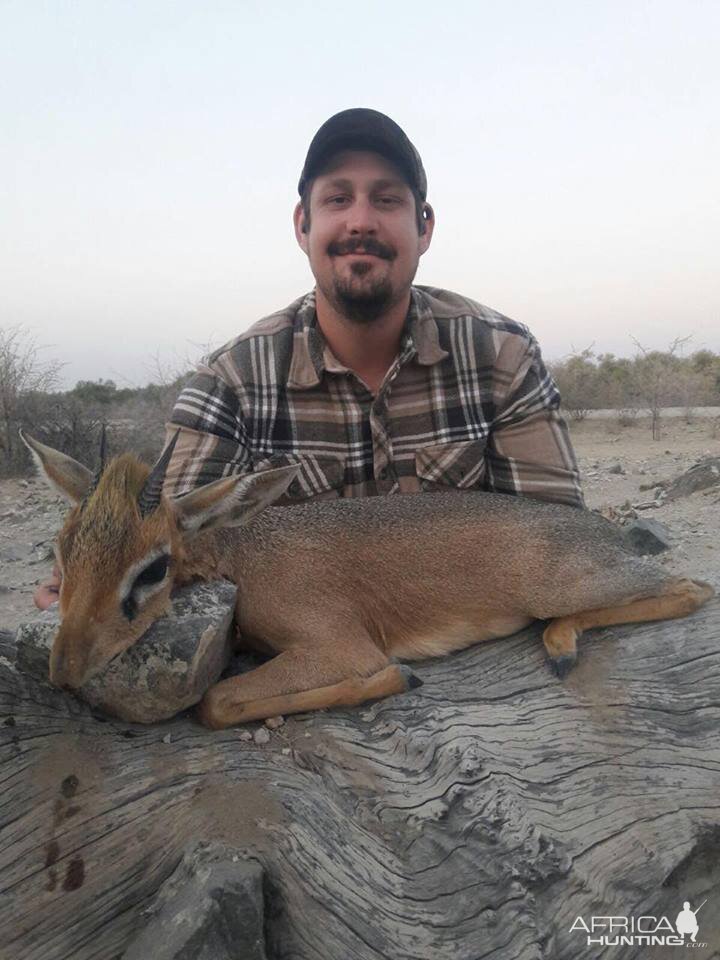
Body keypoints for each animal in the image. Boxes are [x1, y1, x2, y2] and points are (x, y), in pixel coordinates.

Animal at [22, 430, 716, 728]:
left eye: (154, 566)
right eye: (61, 550)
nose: (62, 669)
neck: (248, 558)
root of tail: (600, 529)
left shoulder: (339, 644)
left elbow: (216, 701)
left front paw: (396, 678)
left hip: (568, 584)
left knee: (691, 587)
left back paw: (562, 646)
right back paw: (559, 645)